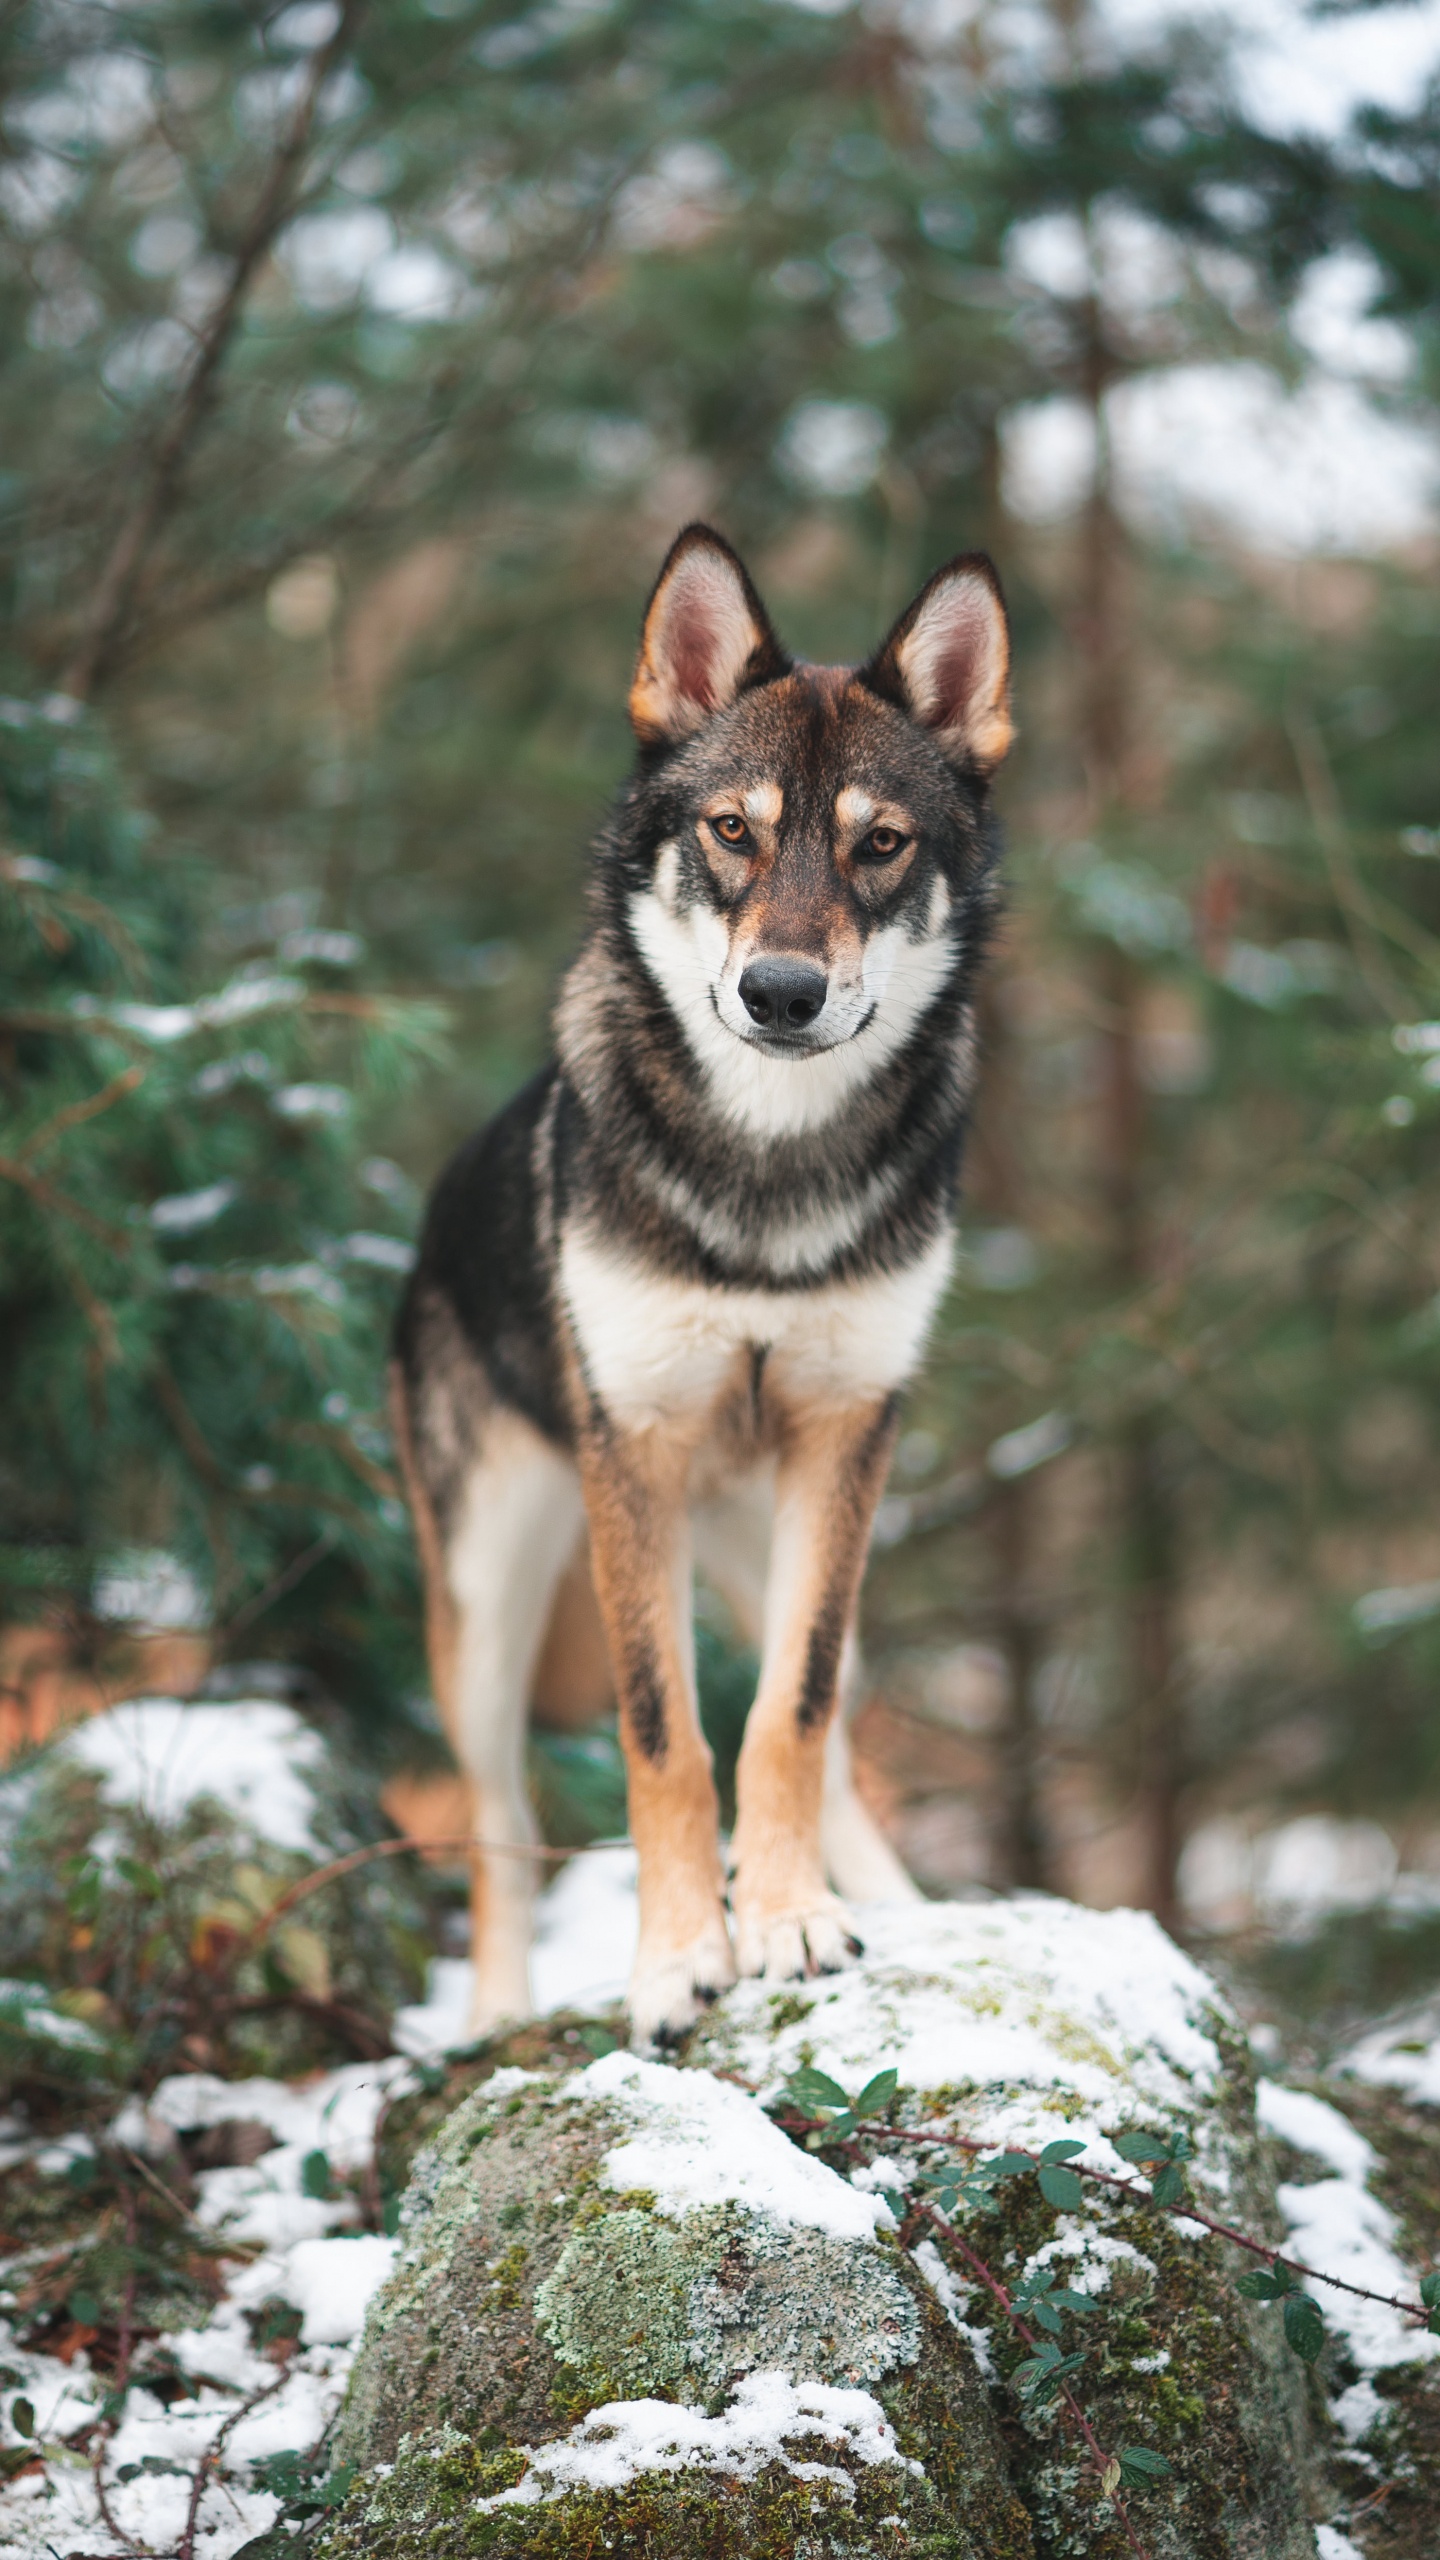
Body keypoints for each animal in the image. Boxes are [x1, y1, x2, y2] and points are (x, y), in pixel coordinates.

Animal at [386, 519, 1004, 2037]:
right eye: (734, 831)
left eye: (880, 846)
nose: (782, 991)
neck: (766, 1178)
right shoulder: (640, 1456)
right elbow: (662, 1735)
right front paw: (677, 1962)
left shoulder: (847, 1440)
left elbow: (788, 1715)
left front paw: (787, 1925)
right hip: (488, 1602)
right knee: (496, 1826)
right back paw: (494, 2017)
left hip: (785, 1538)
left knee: (830, 1733)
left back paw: (895, 1907)